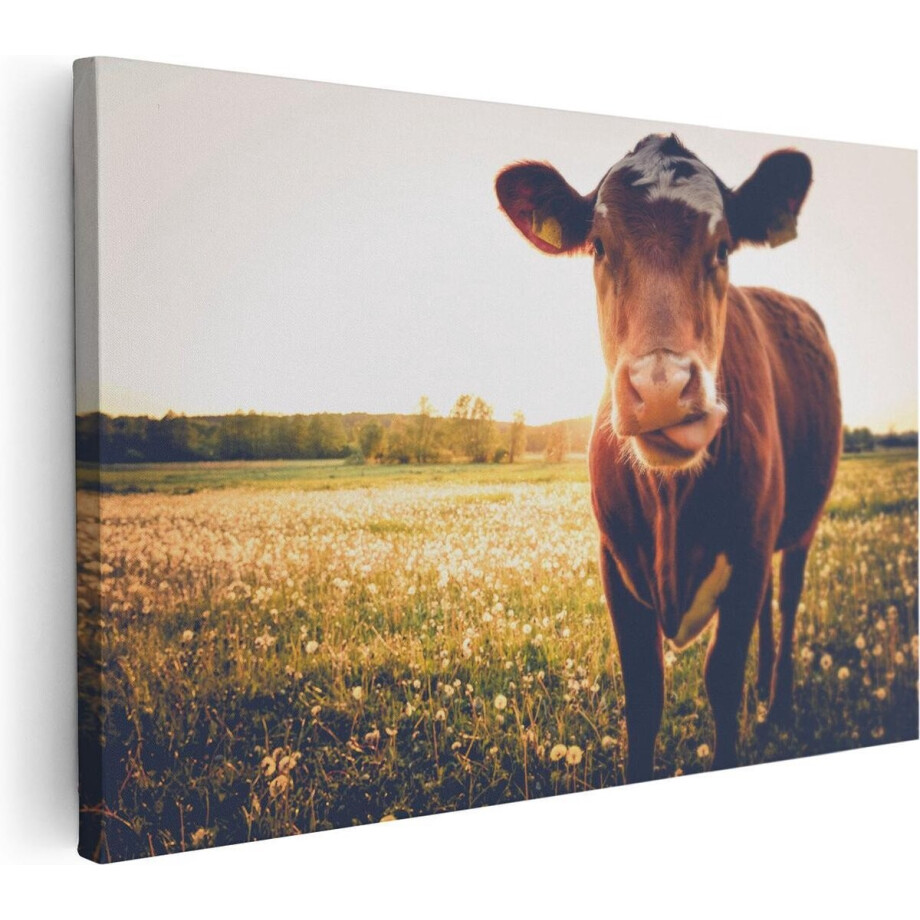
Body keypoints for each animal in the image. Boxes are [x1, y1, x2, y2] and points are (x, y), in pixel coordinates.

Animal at [495, 133, 841, 782]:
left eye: (723, 246)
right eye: (599, 246)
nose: (660, 388)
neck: (671, 502)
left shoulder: (749, 552)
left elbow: (722, 680)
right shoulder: (615, 563)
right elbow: (644, 695)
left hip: (800, 523)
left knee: (787, 601)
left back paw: (776, 703)